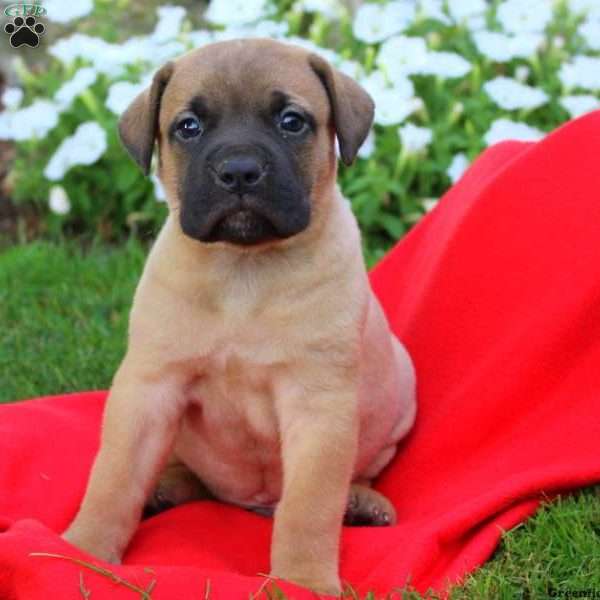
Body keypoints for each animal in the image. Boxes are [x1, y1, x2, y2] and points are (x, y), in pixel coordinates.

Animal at [62, 38, 418, 596]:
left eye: (292, 121)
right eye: (188, 126)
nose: (240, 171)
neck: (242, 270)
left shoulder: (318, 407)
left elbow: (309, 506)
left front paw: (303, 580)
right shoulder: (148, 388)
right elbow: (114, 476)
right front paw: (82, 550)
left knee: (354, 475)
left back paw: (362, 503)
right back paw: (165, 488)